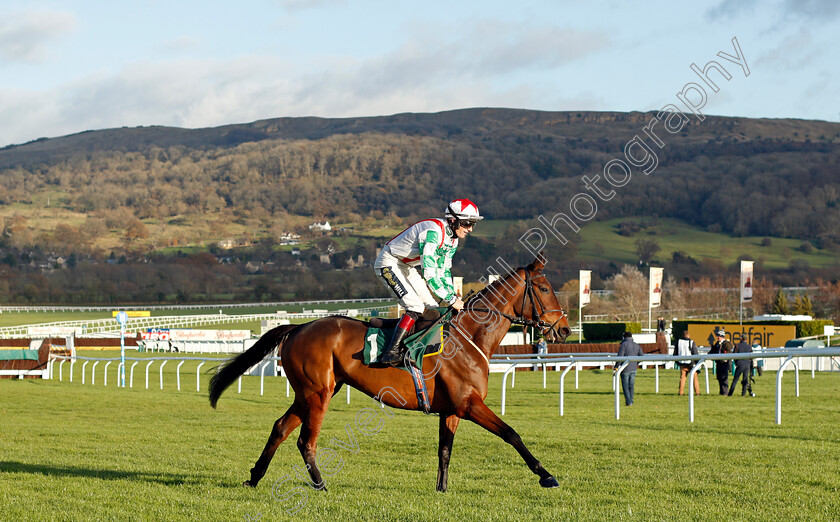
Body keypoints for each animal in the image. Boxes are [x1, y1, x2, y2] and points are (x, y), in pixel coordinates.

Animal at [212, 254, 572, 490]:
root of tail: (299, 326)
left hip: (309, 392)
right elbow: (512, 434)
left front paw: (441, 490)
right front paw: (546, 475)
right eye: (543, 289)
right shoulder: (470, 405)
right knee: (304, 440)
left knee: (280, 428)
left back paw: (255, 476)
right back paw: (319, 484)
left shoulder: (452, 410)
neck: (470, 337)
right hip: (318, 393)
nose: (565, 329)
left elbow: (444, 451)